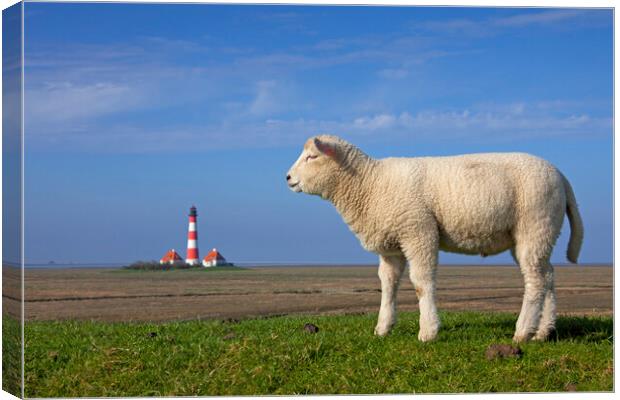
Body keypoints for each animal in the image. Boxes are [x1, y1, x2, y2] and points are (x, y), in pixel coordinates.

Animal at [288, 134, 584, 340]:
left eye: (312, 157)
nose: (288, 177)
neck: (370, 184)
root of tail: (561, 176)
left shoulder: (418, 230)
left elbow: (421, 282)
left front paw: (428, 331)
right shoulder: (392, 245)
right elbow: (388, 284)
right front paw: (383, 328)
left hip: (535, 223)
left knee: (535, 280)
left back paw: (522, 332)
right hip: (540, 232)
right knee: (547, 276)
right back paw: (543, 332)